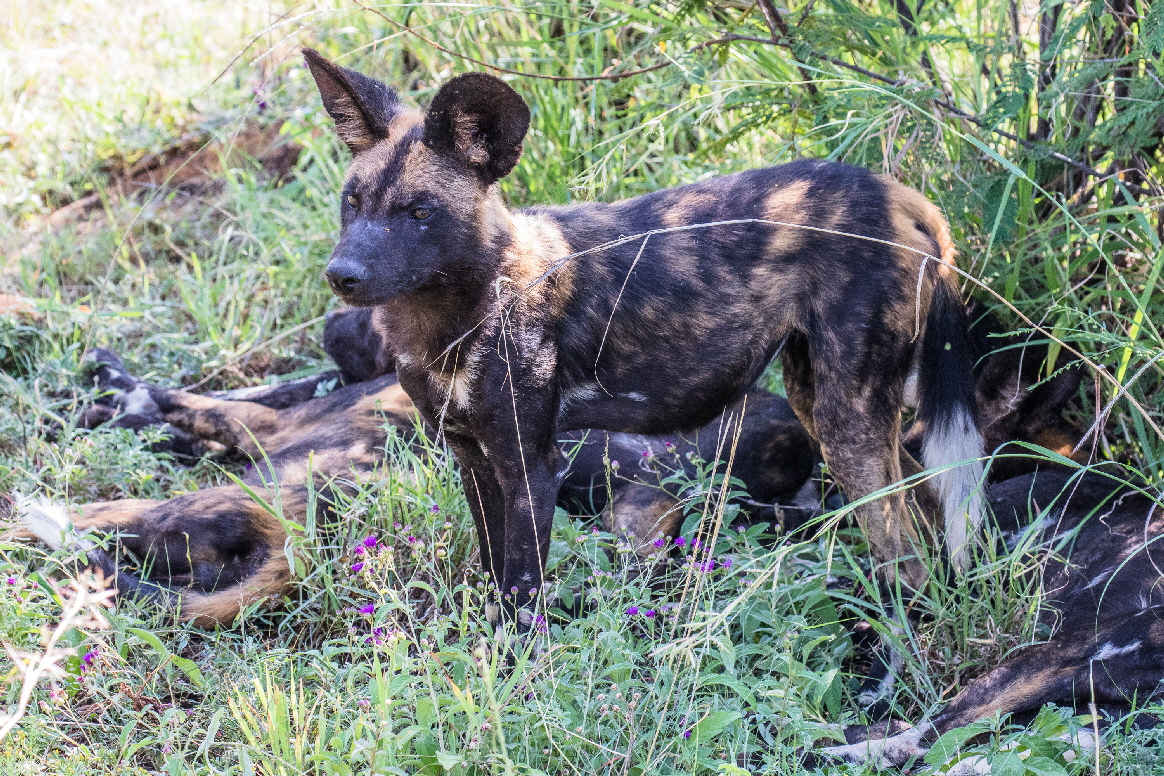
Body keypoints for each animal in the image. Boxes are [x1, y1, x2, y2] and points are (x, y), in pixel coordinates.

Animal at [297, 50, 982, 623]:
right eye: (352, 202)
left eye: (419, 212)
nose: (343, 275)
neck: (451, 318)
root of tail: (902, 195)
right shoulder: (474, 458)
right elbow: (495, 577)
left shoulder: (529, 467)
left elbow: (520, 597)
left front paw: (517, 676)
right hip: (819, 403)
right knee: (924, 517)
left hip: (846, 427)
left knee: (907, 558)